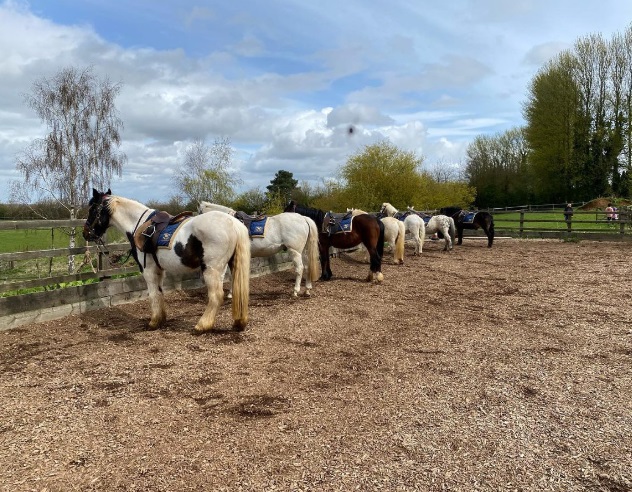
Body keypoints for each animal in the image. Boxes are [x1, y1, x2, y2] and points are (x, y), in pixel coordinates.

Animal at [82, 188, 251, 334]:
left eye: (92, 209)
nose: (85, 233)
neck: (138, 225)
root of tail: (234, 223)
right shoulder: (159, 270)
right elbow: (159, 293)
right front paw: (161, 319)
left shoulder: (148, 270)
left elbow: (153, 294)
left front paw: (154, 322)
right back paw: (238, 323)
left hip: (212, 269)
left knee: (216, 295)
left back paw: (202, 325)